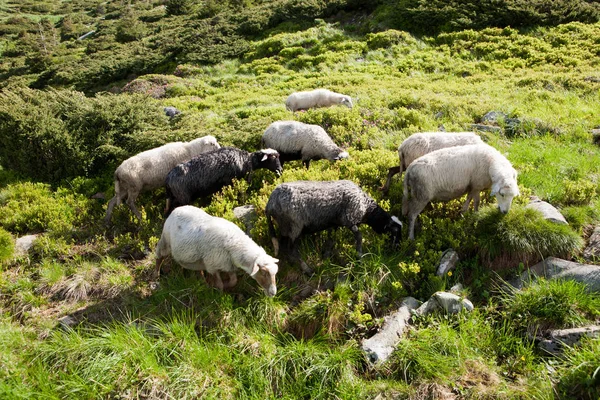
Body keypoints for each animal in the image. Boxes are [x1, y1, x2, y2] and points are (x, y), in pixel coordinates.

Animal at [264, 180, 400, 274]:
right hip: (295, 225)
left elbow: (331, 240)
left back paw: (291, 265)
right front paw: (359, 258)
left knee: (283, 246)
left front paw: (326, 257)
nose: (396, 250)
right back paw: (307, 269)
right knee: (292, 249)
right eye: (395, 232)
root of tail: (270, 203)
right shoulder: (349, 220)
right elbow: (359, 237)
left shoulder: (334, 224)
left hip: (284, 226)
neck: (366, 208)